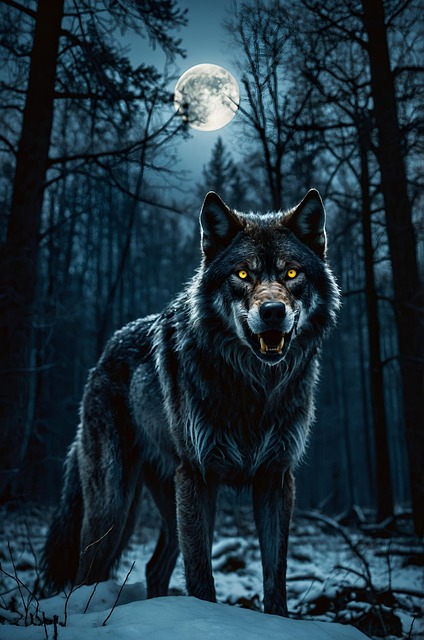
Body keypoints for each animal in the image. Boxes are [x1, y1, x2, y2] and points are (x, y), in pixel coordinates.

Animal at [42, 189, 340, 616]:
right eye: (243, 275)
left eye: (291, 274)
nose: (272, 312)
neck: (253, 390)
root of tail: (101, 359)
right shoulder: (199, 476)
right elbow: (200, 574)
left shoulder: (275, 478)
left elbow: (275, 575)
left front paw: (278, 621)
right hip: (114, 508)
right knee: (88, 570)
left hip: (162, 502)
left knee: (153, 566)